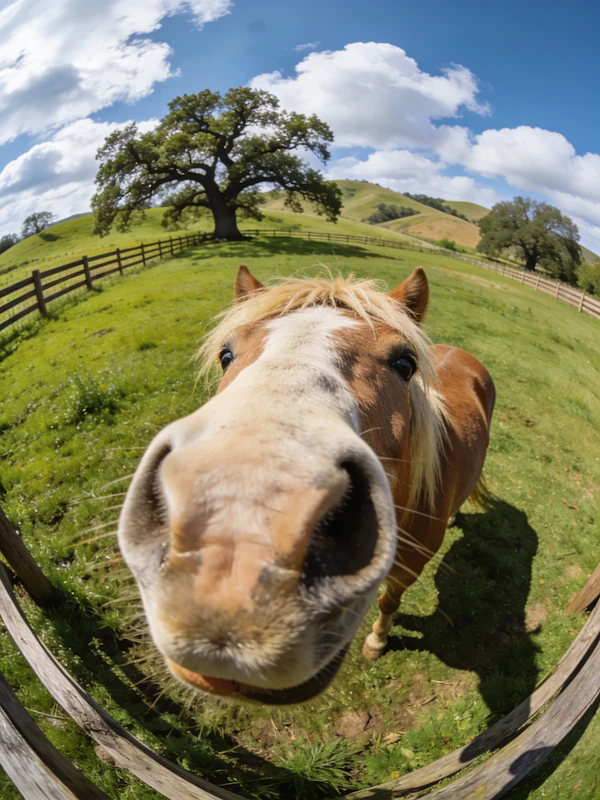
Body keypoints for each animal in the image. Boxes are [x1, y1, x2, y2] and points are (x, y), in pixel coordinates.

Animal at [118, 265, 495, 705]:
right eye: (226, 354)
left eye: (405, 363)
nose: (234, 545)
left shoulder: (408, 570)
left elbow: (389, 601)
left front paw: (377, 643)